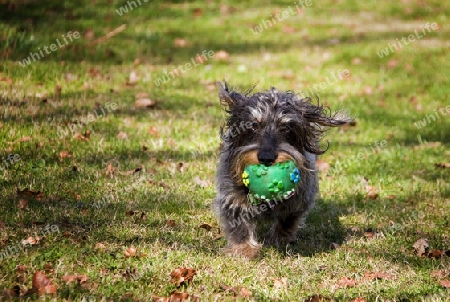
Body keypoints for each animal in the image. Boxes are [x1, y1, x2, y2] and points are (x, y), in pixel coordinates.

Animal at [213, 82, 350, 260]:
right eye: (254, 125)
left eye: (286, 127)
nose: (266, 158)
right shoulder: (231, 197)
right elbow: (238, 224)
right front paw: (244, 249)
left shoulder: (299, 200)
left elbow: (288, 220)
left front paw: (280, 240)